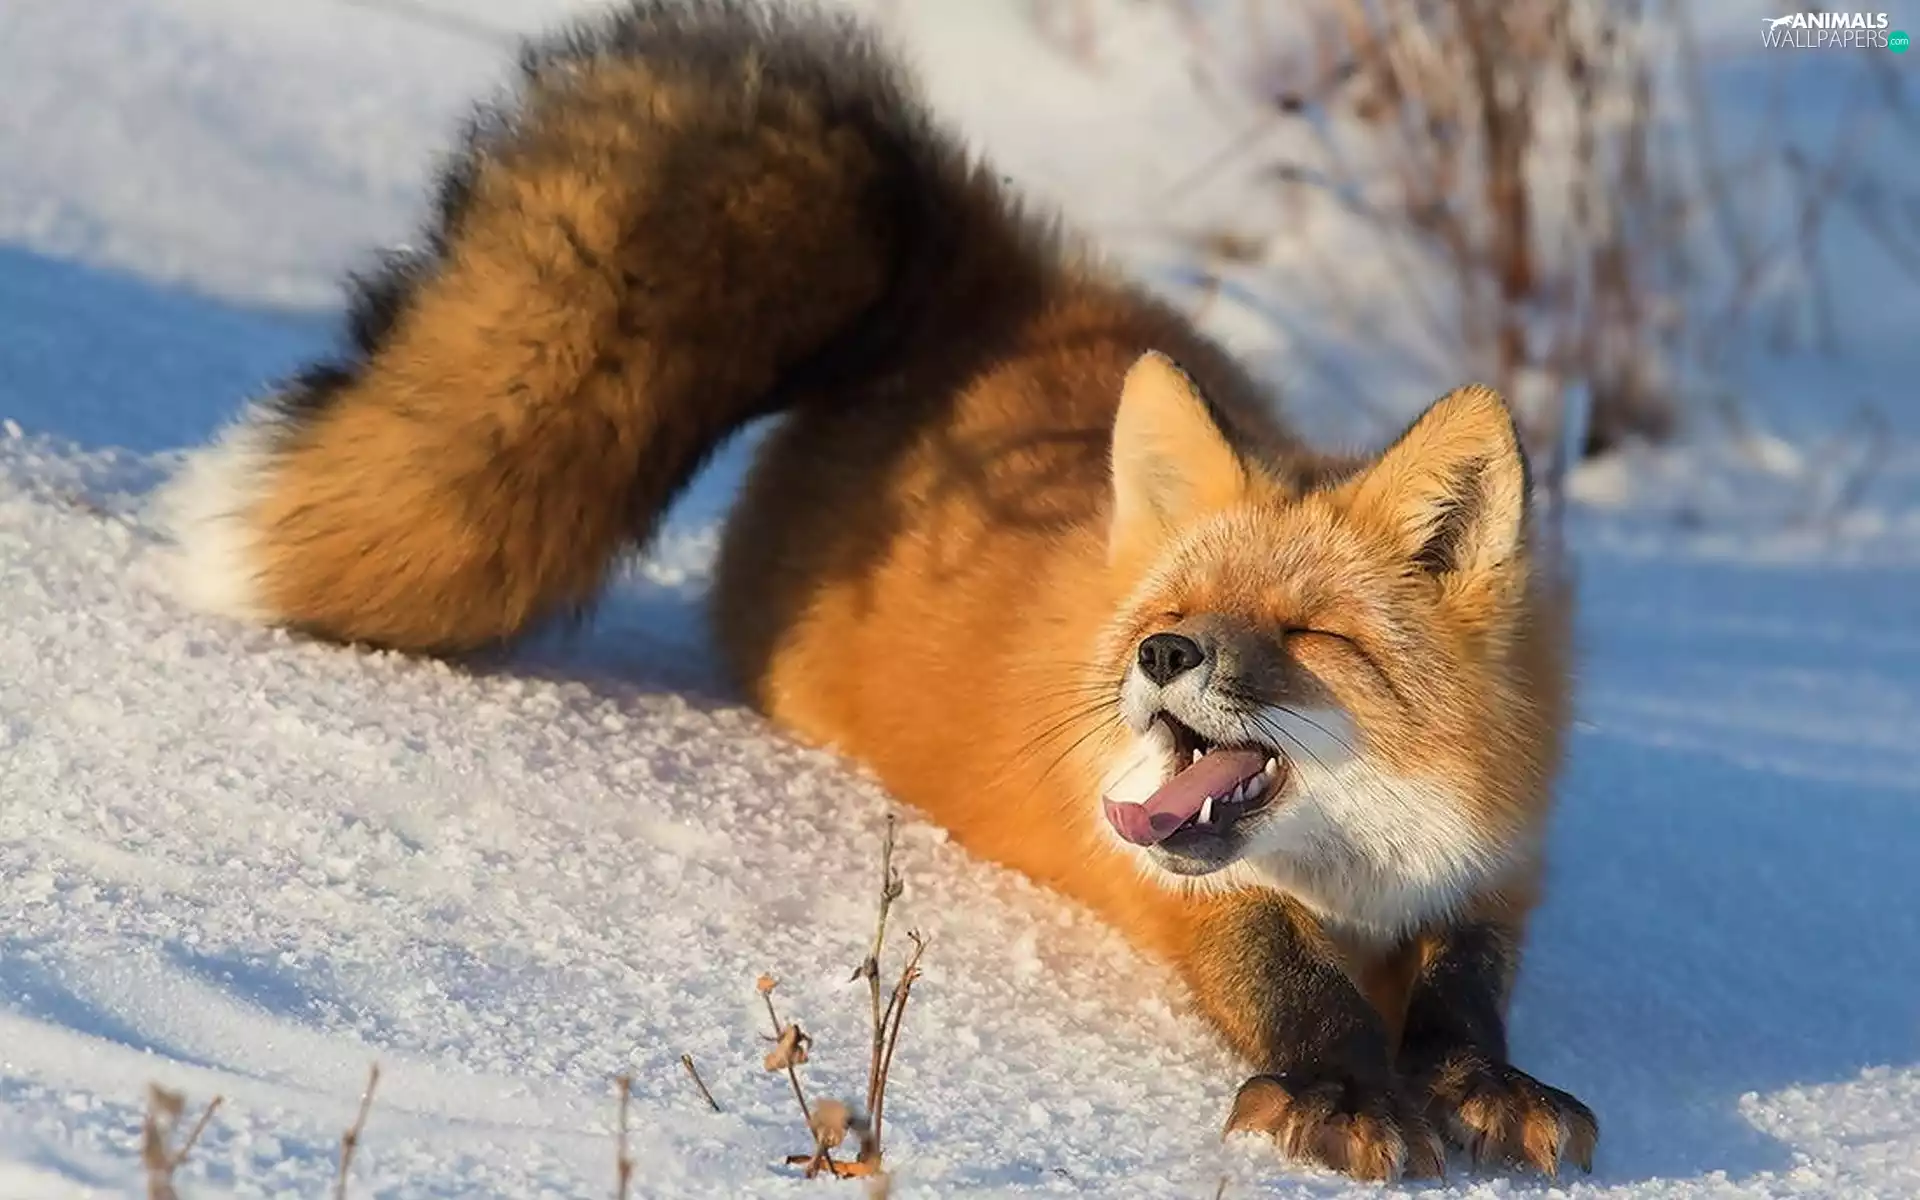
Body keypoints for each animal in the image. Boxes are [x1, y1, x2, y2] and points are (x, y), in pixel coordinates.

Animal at [159, 0, 1596, 1182]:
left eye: (1308, 630)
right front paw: (1339, 1090)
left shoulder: (1496, 874)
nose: (1164, 659)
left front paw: (1482, 1083)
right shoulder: (1157, 874)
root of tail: (992, 287)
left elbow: (1465, 992)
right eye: (1160, 622)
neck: (1363, 868)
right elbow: (1284, 977)